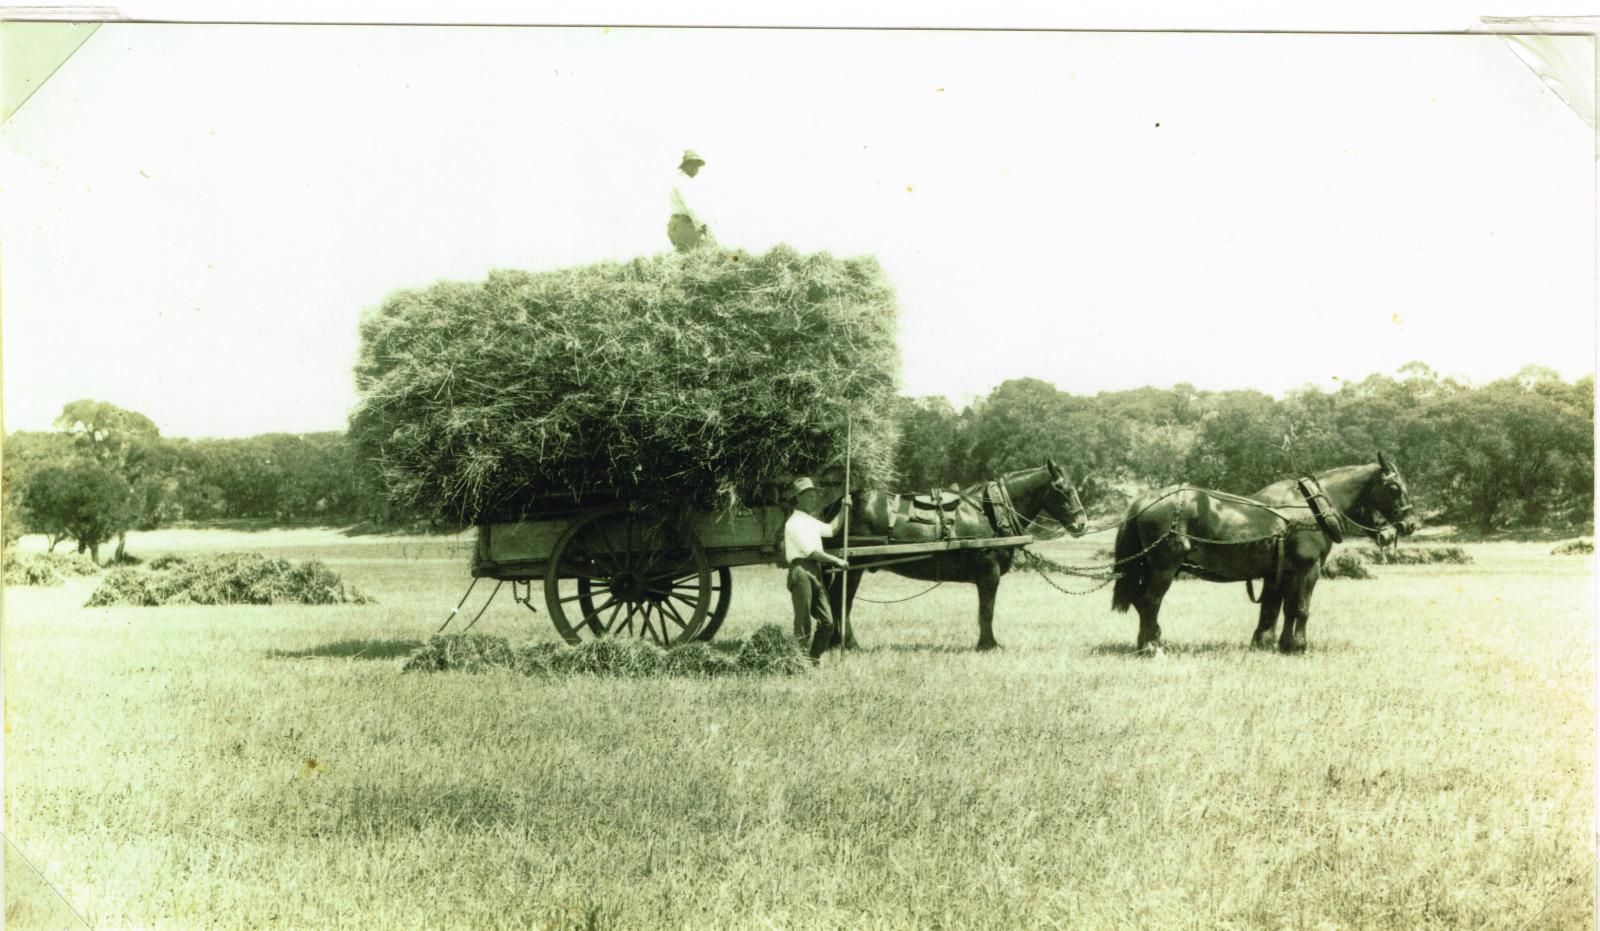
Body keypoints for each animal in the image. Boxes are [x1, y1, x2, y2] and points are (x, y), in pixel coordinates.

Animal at [812, 460, 1088, 652]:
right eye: (1063, 489)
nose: (1081, 523)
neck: (990, 511)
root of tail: (841, 503)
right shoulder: (989, 573)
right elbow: (986, 611)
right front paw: (988, 645)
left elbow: (985, 611)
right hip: (853, 567)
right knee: (841, 603)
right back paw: (848, 644)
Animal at [1107, 454, 1420, 655]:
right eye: (1394, 488)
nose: (1410, 524)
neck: (1309, 509)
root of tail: (1145, 500)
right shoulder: (1308, 569)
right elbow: (1300, 608)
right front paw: (1298, 646)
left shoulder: (1279, 573)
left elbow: (1276, 608)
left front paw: (1271, 643)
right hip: (1164, 567)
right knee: (1149, 602)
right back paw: (1152, 647)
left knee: (1140, 601)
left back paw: (1146, 642)